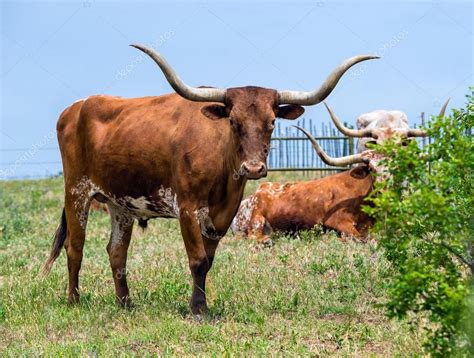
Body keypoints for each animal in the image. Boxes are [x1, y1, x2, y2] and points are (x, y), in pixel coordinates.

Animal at [42, 44, 378, 314]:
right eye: (233, 121)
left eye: (272, 122)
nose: (253, 168)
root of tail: (75, 108)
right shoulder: (187, 208)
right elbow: (197, 260)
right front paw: (198, 310)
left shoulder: (223, 214)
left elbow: (208, 260)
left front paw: (201, 304)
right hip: (77, 191)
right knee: (75, 246)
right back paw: (74, 301)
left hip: (120, 203)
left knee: (116, 252)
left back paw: (126, 304)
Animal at [232, 101, 448, 246]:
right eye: (372, 169)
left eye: (397, 167)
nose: (384, 191)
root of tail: (255, 193)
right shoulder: (338, 221)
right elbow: (362, 238)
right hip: (257, 219)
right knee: (253, 236)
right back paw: (266, 241)